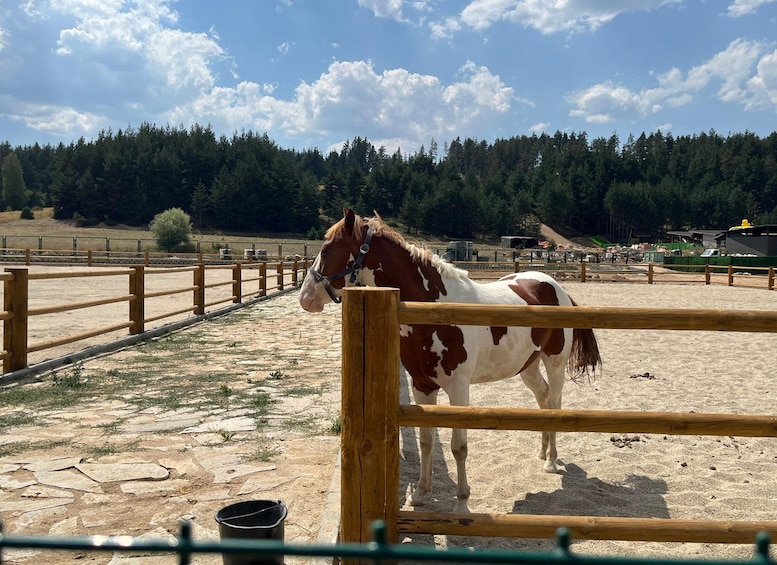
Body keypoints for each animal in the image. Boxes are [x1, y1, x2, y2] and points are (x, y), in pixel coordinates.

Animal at [299, 209, 602, 512]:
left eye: (327, 250)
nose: (305, 298)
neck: (435, 310)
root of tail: (556, 288)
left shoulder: (458, 389)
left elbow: (459, 446)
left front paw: (462, 502)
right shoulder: (422, 386)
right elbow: (426, 440)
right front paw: (420, 493)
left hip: (555, 363)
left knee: (555, 404)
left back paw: (551, 460)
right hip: (528, 367)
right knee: (543, 400)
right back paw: (542, 452)